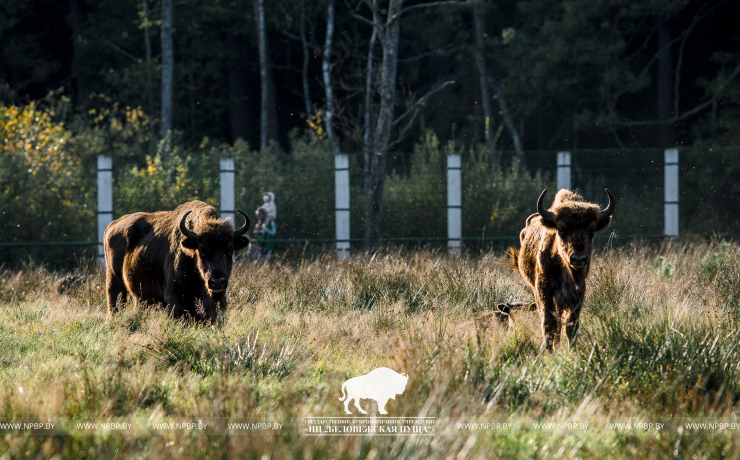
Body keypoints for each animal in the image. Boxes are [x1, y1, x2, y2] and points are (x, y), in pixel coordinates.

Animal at [103, 199, 251, 322]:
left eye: (230, 251)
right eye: (201, 252)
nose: (217, 282)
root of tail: (111, 226)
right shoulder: (175, 301)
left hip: (141, 297)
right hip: (114, 282)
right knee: (114, 303)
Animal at [506, 189, 616, 350]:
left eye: (592, 231)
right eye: (561, 230)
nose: (578, 259)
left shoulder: (578, 291)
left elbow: (571, 324)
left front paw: (571, 349)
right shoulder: (543, 288)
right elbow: (548, 322)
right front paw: (548, 349)